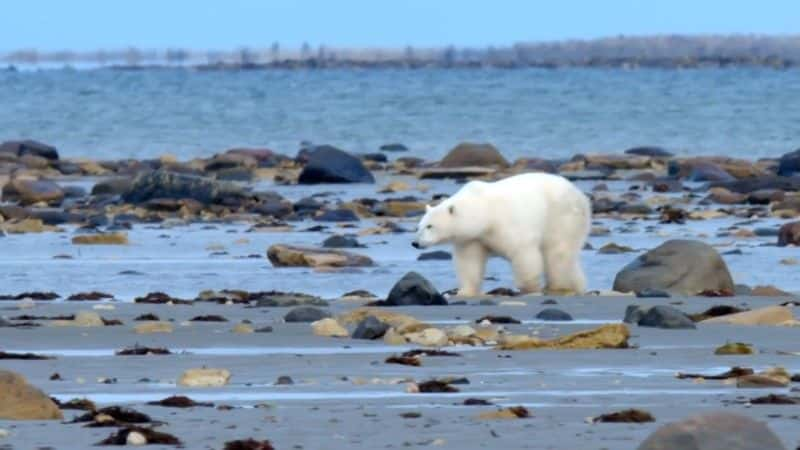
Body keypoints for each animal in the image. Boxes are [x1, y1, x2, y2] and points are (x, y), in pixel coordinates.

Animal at [416, 174, 592, 298]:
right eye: (419, 227)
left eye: (430, 226)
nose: (415, 243)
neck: (485, 212)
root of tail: (581, 196)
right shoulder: (471, 238)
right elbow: (469, 262)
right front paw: (465, 292)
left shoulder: (509, 224)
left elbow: (523, 253)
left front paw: (528, 288)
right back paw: (577, 285)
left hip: (561, 217)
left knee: (557, 252)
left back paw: (558, 286)